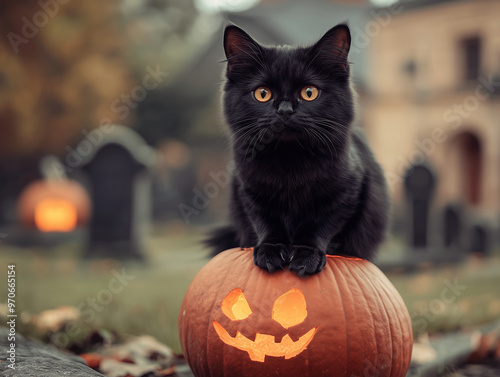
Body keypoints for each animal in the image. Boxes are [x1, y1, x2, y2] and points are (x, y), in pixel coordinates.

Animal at [205, 24, 388, 276]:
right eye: (262, 93)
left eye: (309, 93)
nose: (285, 110)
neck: (289, 160)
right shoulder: (250, 191)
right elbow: (266, 222)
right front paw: (270, 251)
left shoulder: (346, 192)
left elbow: (319, 224)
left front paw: (306, 256)